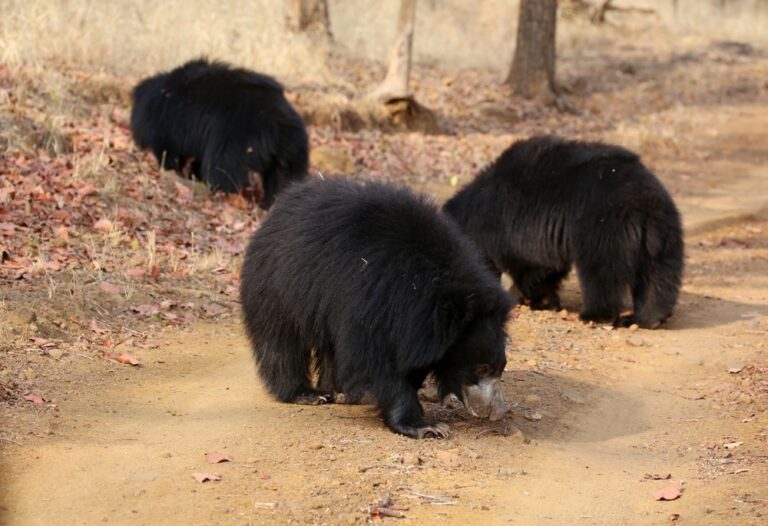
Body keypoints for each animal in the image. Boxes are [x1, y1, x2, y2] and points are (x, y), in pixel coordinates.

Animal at [130, 58, 308, 209]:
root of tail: (279, 124)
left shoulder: (168, 124)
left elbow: (168, 151)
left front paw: (174, 170)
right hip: (294, 152)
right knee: (282, 178)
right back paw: (270, 204)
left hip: (236, 140)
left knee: (222, 169)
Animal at [240, 178, 513, 438]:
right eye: (481, 368)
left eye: (501, 367)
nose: (497, 412)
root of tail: (276, 211)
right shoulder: (372, 297)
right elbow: (371, 359)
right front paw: (425, 426)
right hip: (279, 287)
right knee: (281, 341)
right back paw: (306, 393)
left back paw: (341, 391)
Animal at [443, 135, 683, 329]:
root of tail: (643, 202)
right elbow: (548, 267)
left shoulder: (510, 222)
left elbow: (529, 261)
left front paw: (529, 298)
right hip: (665, 232)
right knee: (659, 273)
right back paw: (648, 318)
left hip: (603, 227)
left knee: (600, 273)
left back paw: (595, 316)